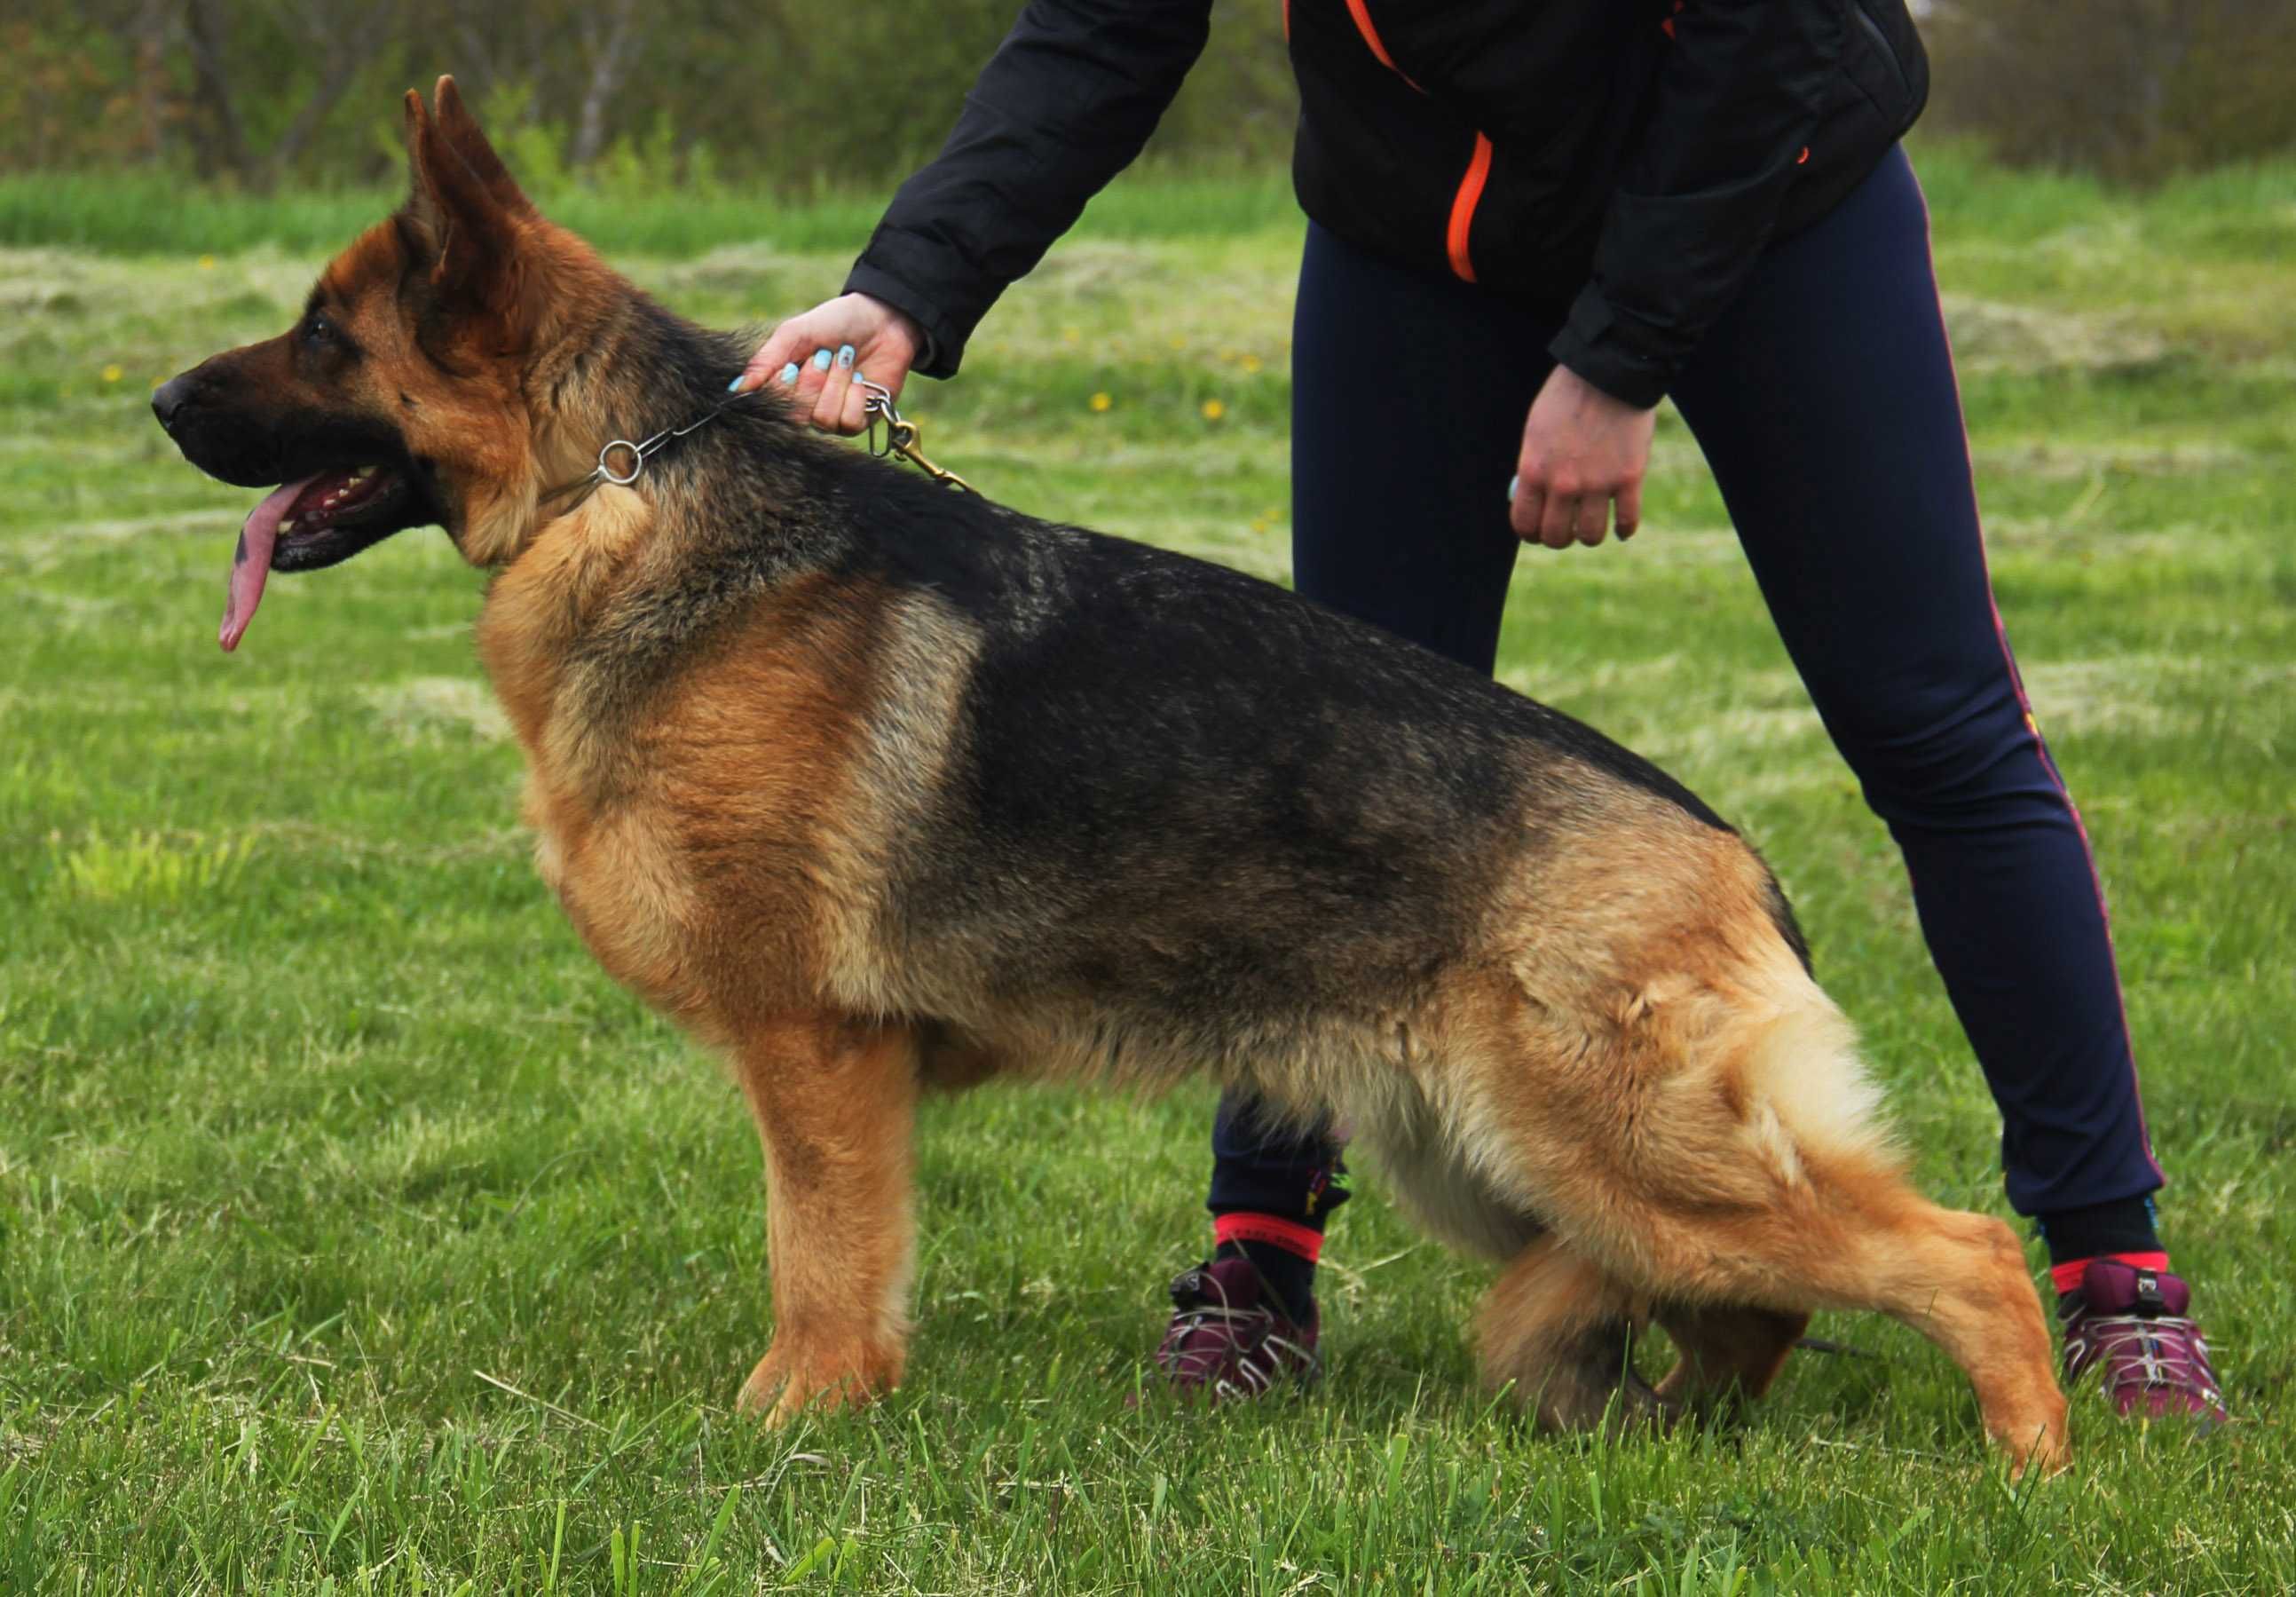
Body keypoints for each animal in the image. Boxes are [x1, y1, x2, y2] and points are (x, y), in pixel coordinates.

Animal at [162, 84, 2066, 1470]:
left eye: (322, 339)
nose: (165, 404)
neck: (618, 485)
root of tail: (1732, 852)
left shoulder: (816, 1055)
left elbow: (817, 1259)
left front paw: (791, 1424)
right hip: (1497, 1161)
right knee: (1737, 1307)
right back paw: (1658, 1433)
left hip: (1608, 1151)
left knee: (1962, 1253)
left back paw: (2032, 1458)